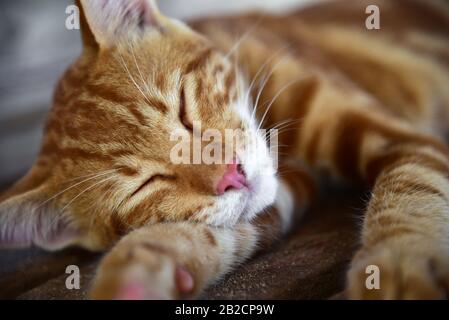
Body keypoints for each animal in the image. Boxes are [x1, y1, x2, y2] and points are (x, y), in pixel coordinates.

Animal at [0, 0, 448, 300]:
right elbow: (220, 229)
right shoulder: (276, 194)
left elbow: (410, 191)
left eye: (183, 109)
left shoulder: (404, 140)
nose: (232, 174)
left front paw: (399, 264)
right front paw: (144, 267)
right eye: (147, 184)